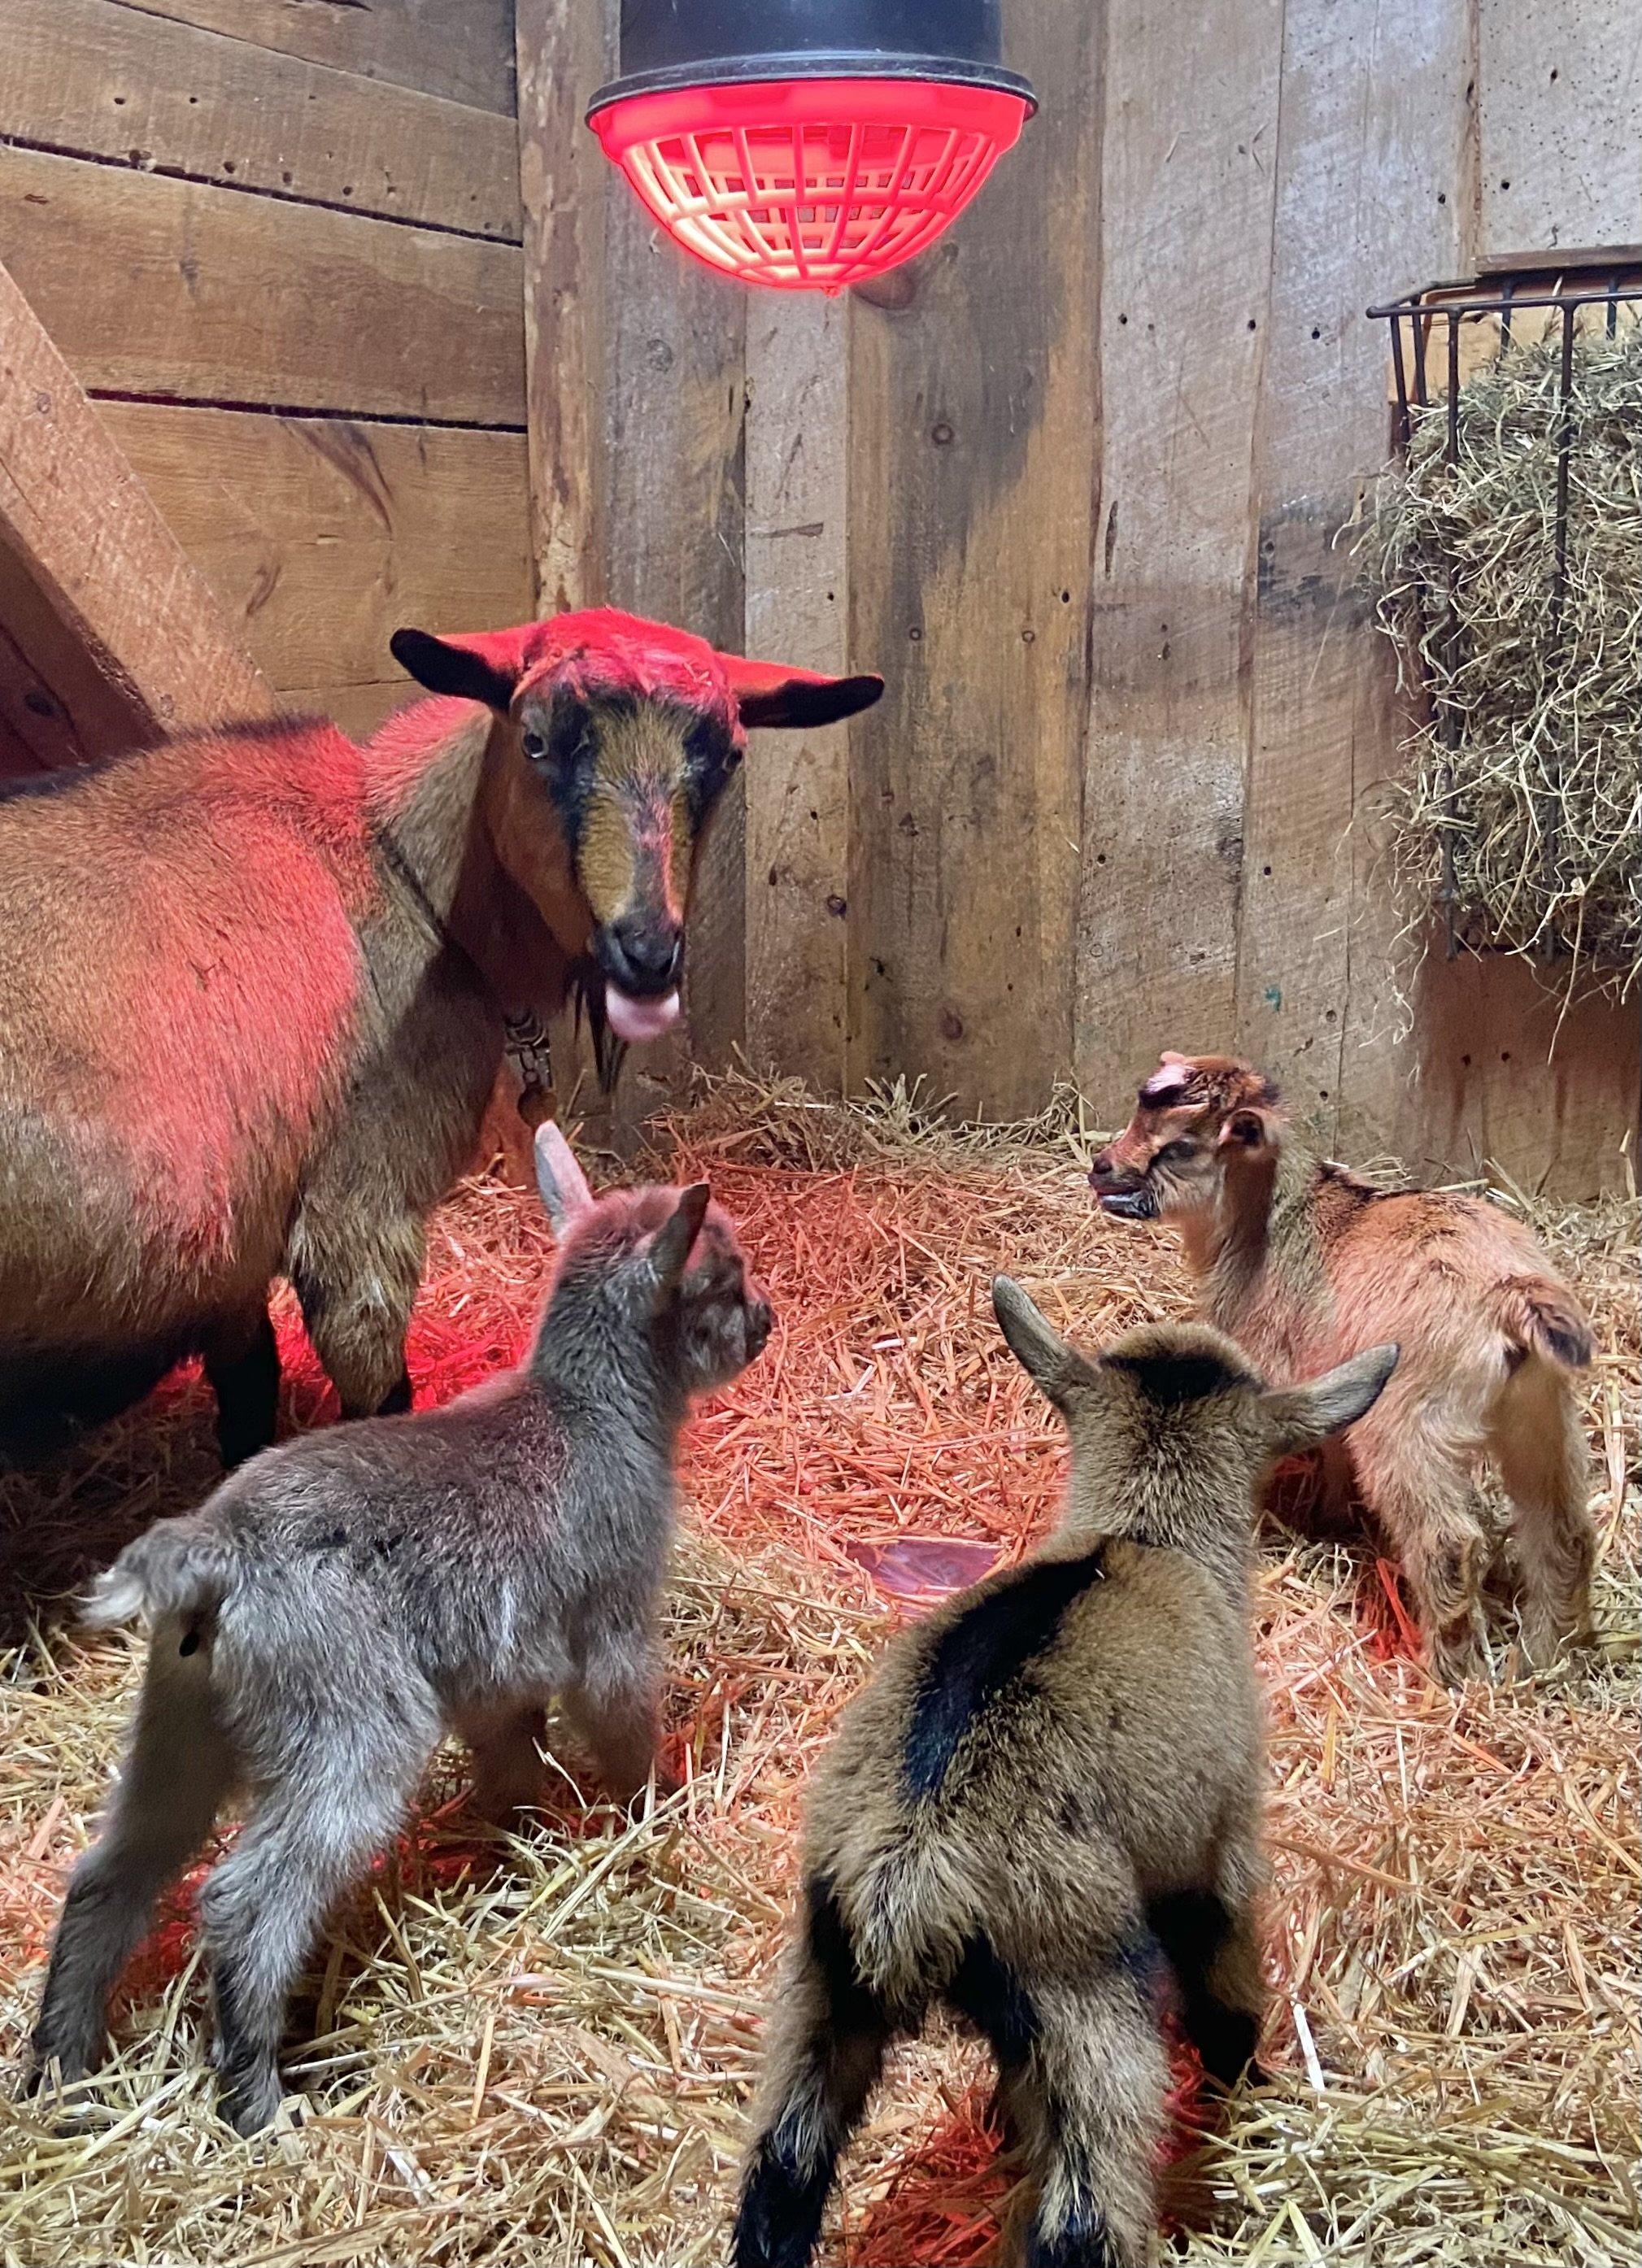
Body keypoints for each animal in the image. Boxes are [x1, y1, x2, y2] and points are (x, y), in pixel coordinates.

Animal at [0, 607, 880, 1451]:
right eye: (533, 740)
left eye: (728, 756)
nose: (647, 954)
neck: (397, 862)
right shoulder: (359, 1208)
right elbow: (373, 1397)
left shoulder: (235, 1256)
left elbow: (248, 1391)